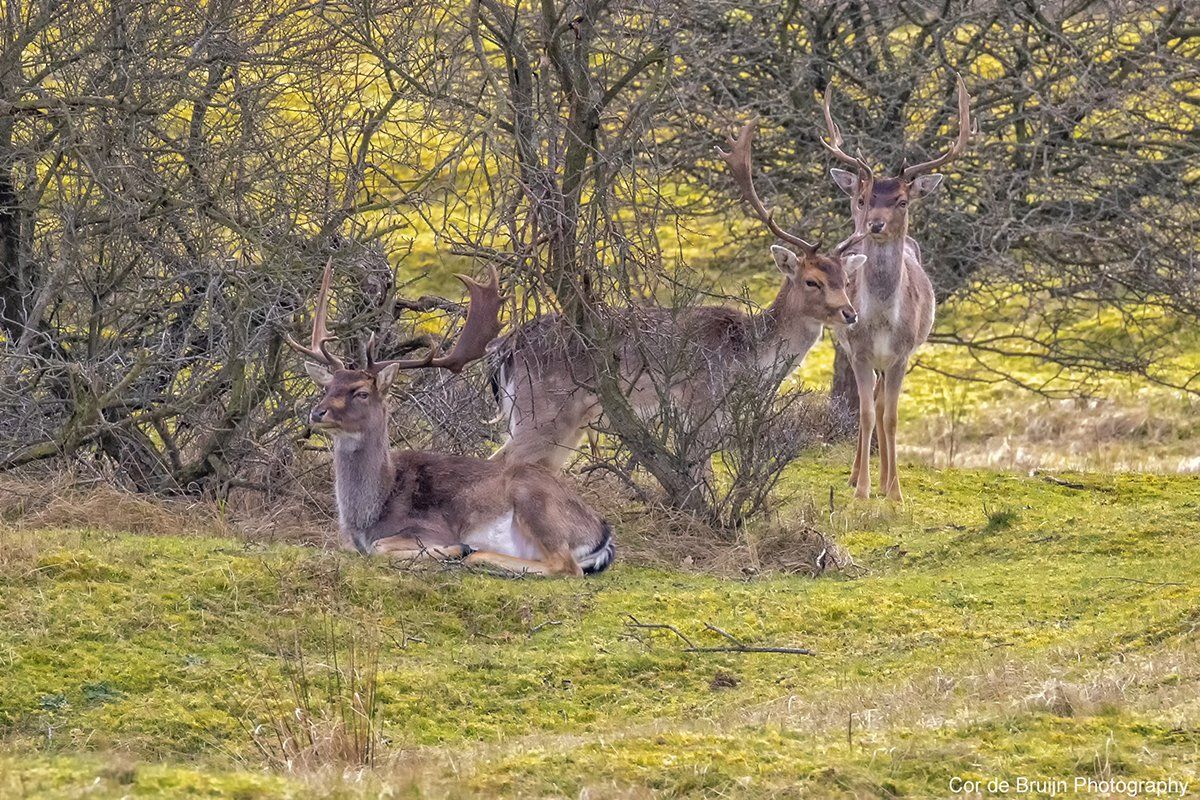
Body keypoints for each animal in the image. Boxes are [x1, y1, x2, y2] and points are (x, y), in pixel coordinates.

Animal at [285, 259, 615, 577]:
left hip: (534, 501)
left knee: (568, 567)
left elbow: (379, 547)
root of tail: (602, 532)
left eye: (362, 392)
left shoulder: (430, 528)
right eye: (328, 387)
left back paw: (474, 555)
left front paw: (454, 549)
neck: (370, 512)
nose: (317, 412)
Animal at [488, 119, 863, 476]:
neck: (748, 359)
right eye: (812, 281)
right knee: (502, 463)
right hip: (542, 410)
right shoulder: (700, 406)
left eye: (846, 280)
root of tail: (505, 349)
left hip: (567, 424)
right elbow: (701, 476)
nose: (850, 313)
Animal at [819, 75, 971, 501]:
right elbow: (868, 415)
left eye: (902, 200)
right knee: (870, 406)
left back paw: (887, 478)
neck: (884, 321)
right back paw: (860, 475)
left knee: (884, 406)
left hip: (892, 361)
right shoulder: (858, 351)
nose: (874, 223)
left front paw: (895, 491)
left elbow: (891, 418)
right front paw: (862, 489)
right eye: (864, 197)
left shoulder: (902, 354)